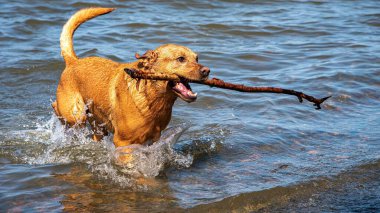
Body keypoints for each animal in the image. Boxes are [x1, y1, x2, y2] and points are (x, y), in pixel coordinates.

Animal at [51, 7, 209, 149]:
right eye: (181, 59)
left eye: (196, 58)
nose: (207, 71)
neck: (152, 98)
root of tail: (73, 61)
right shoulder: (123, 142)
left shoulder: (153, 139)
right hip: (75, 114)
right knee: (57, 108)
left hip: (97, 122)